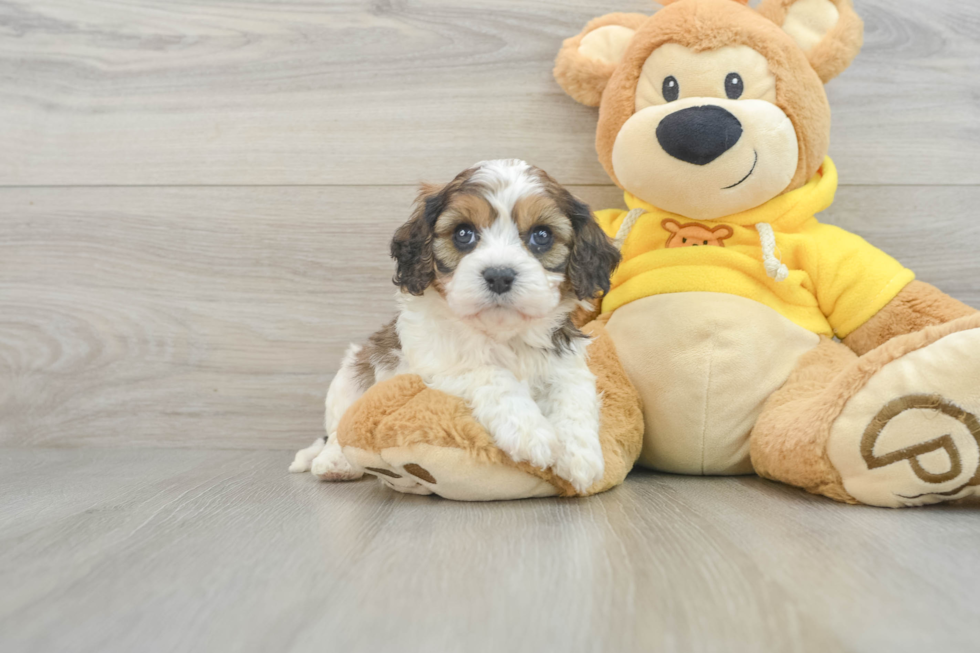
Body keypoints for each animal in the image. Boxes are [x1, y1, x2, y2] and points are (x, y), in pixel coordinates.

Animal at [290, 160, 624, 492]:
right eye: (464, 233)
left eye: (542, 235)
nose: (499, 275)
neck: (501, 333)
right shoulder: (434, 364)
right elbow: (489, 373)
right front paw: (529, 431)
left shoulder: (566, 362)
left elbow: (573, 393)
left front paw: (580, 455)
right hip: (350, 374)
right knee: (339, 429)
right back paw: (334, 461)